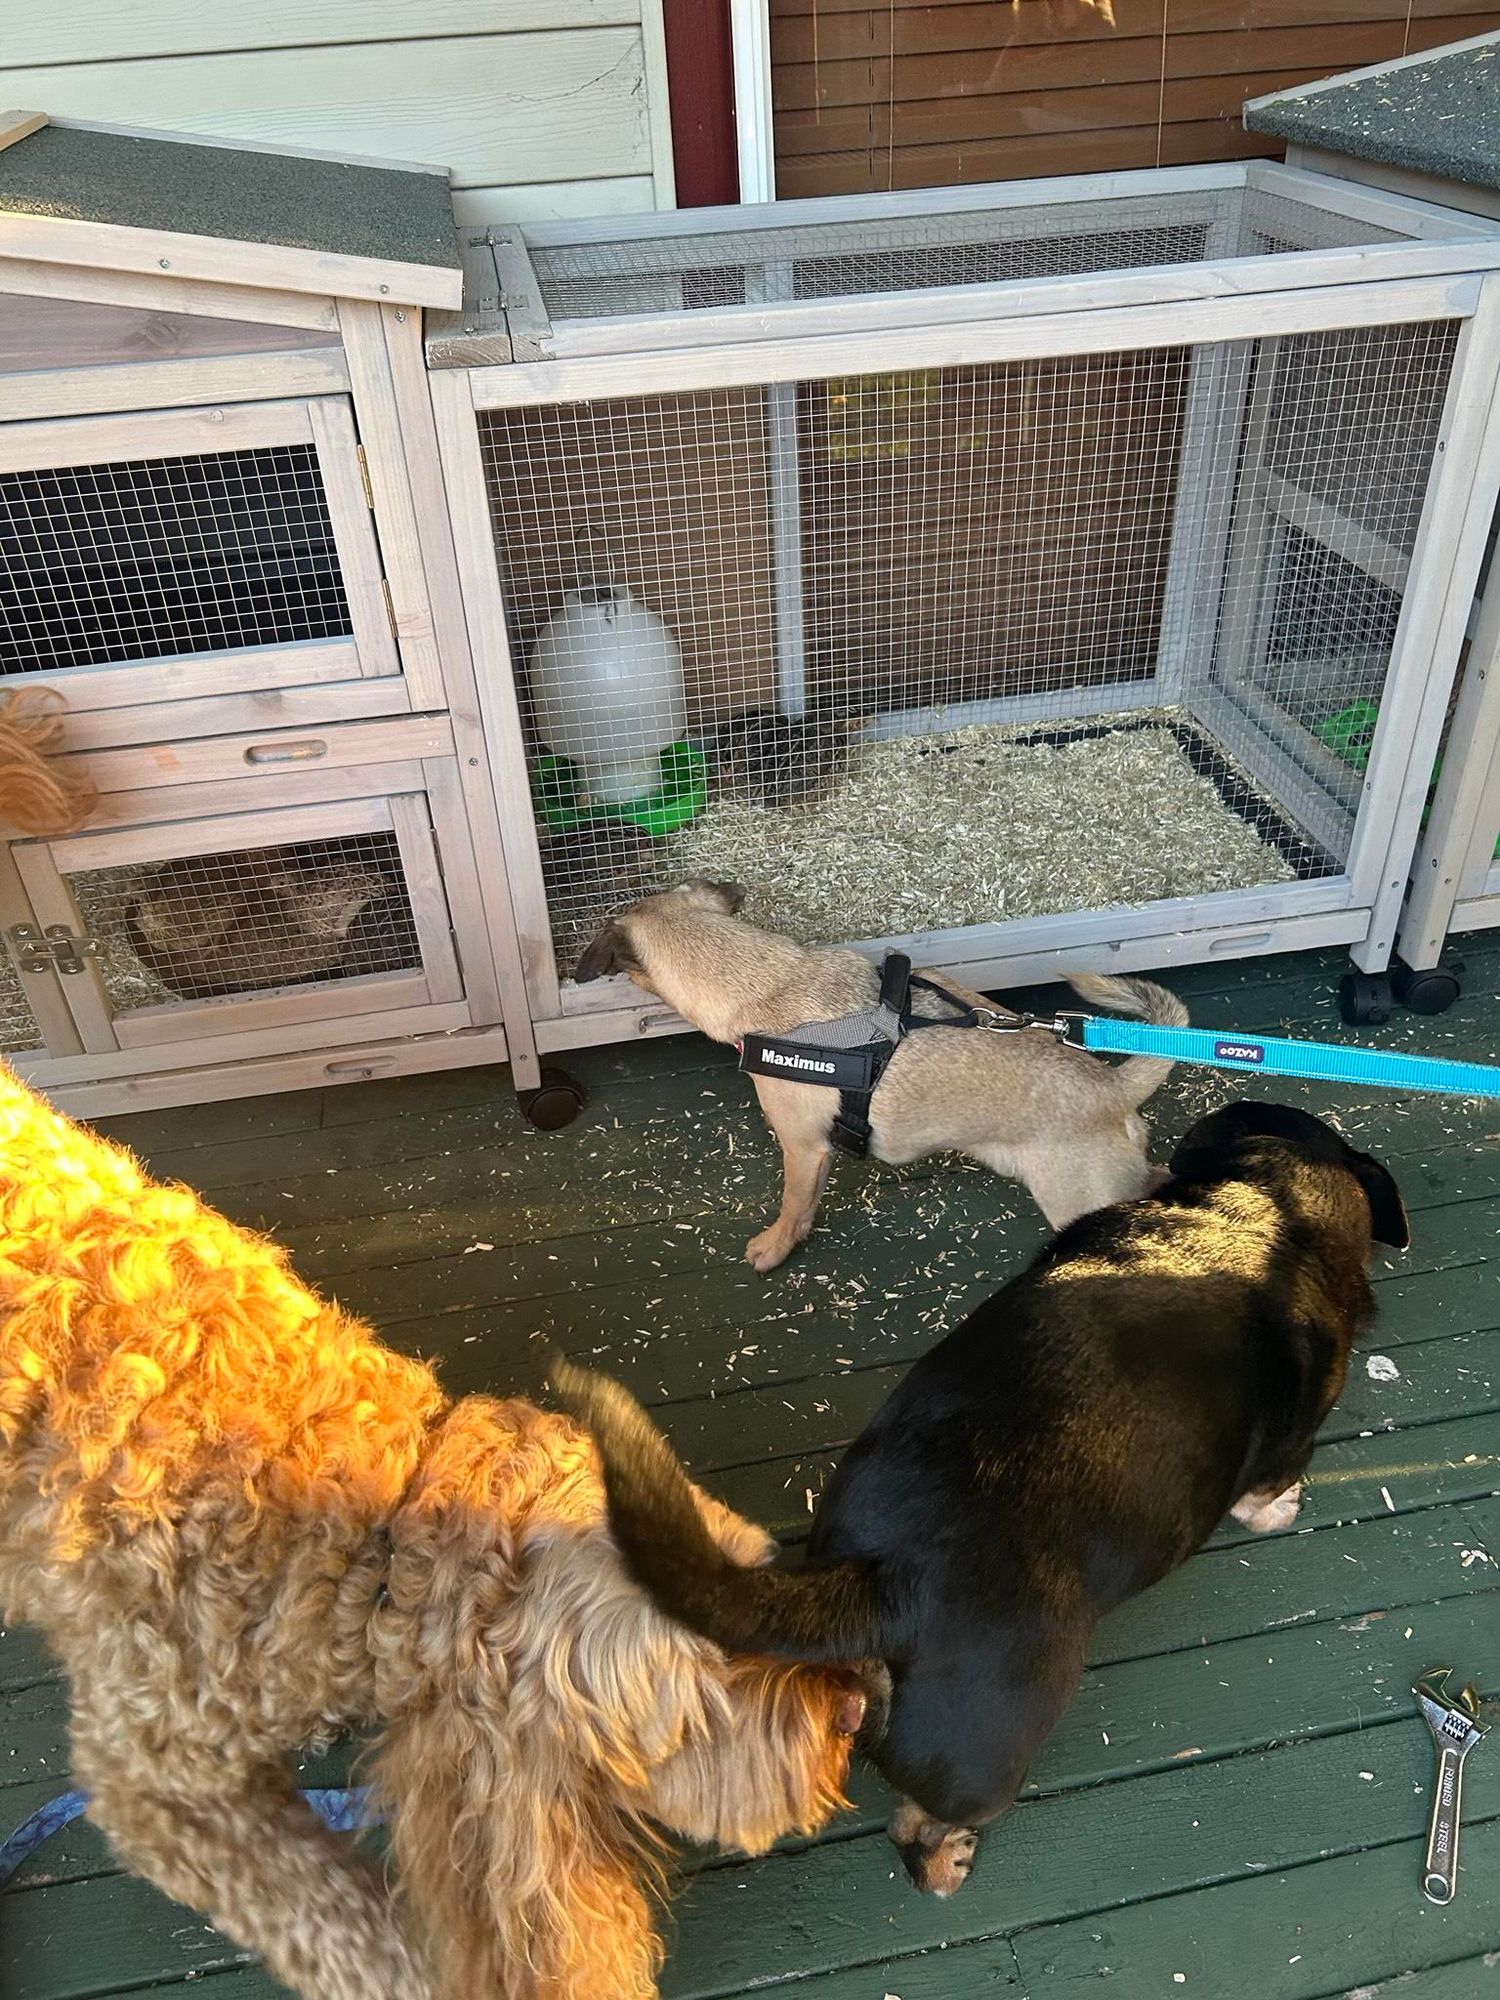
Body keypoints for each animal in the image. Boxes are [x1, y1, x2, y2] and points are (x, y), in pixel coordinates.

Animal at [560, 1104, 1408, 1896]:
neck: (1266, 1205)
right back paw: (946, 1862)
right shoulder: (1295, 1433)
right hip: (991, 1756)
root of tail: (881, 1579)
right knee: (914, 1829)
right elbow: (1274, 1480)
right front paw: (1276, 1509)